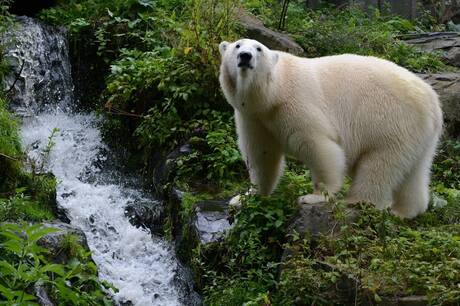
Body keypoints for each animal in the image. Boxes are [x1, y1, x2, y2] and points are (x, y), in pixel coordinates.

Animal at [219, 38, 442, 219]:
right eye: (237, 45)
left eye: (258, 48)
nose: (245, 56)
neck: (273, 92)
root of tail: (433, 102)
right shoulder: (254, 117)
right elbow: (261, 155)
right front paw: (245, 197)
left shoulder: (295, 103)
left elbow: (319, 146)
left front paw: (314, 196)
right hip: (418, 134)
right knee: (414, 171)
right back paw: (404, 211)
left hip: (391, 121)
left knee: (379, 164)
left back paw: (356, 200)